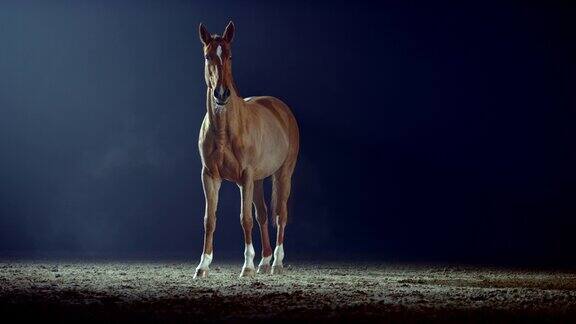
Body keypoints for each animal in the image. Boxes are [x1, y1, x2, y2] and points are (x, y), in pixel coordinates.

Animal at [195, 21, 300, 278]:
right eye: (207, 56)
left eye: (230, 56)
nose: (221, 94)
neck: (225, 131)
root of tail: (281, 108)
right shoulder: (210, 176)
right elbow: (209, 219)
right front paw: (203, 265)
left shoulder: (246, 177)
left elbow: (245, 219)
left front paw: (247, 266)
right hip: (260, 180)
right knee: (263, 214)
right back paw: (265, 260)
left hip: (283, 174)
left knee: (280, 214)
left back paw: (276, 262)